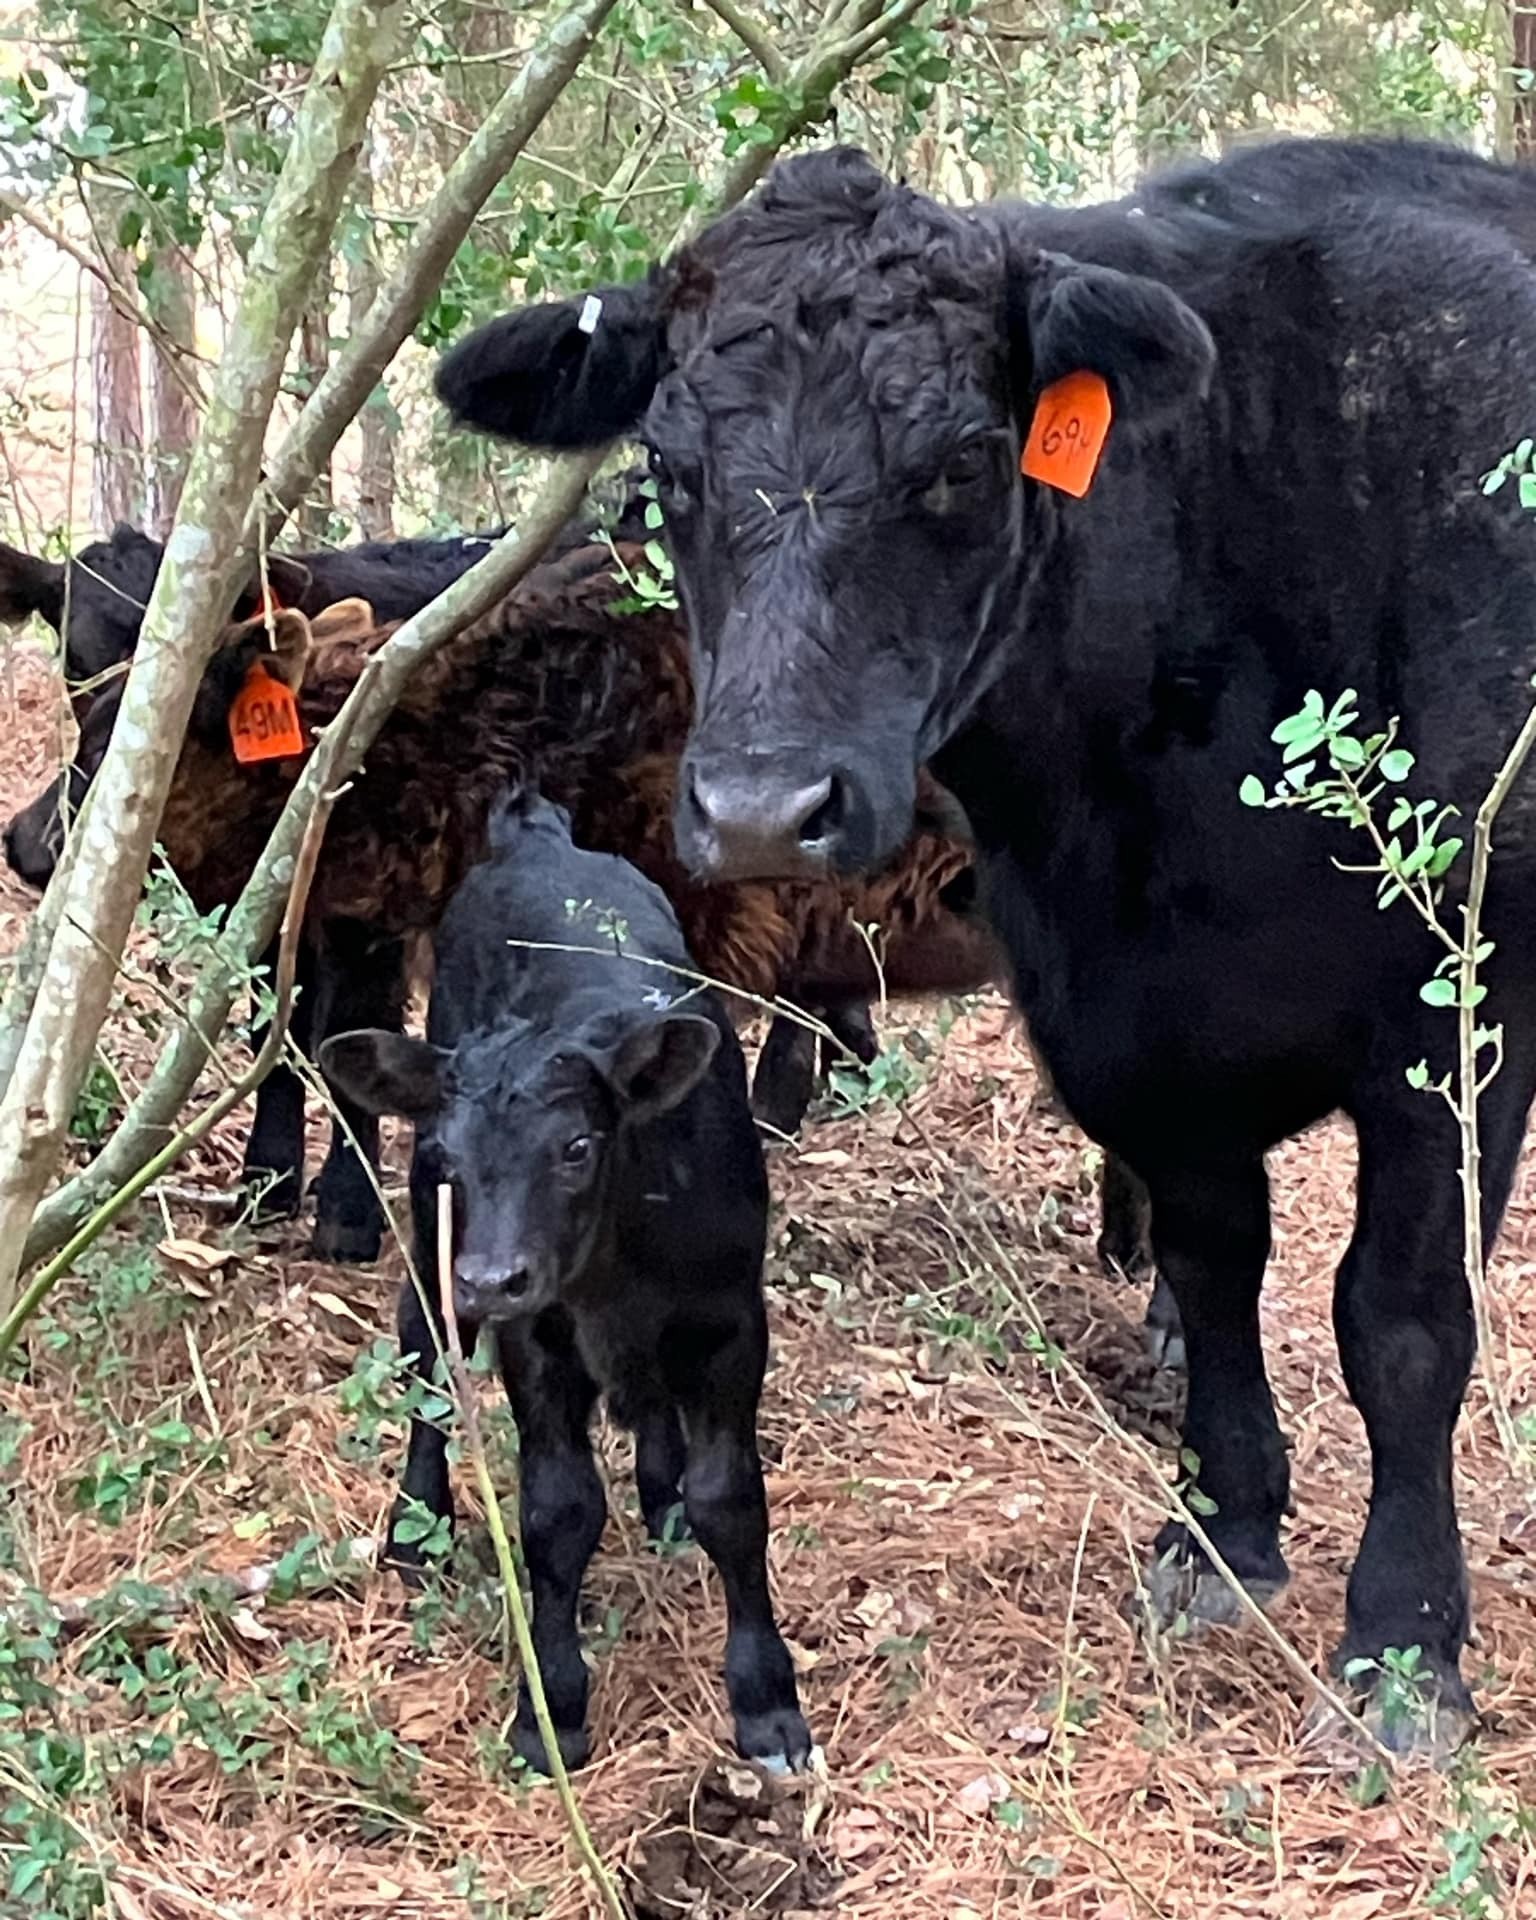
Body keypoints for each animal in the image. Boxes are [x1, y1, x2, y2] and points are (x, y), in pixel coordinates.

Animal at [318, 786, 813, 1774]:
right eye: (451, 1150)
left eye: (578, 1146)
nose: (494, 1277)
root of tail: (535, 830)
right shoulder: (536, 1337)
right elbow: (557, 1510)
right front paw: (551, 1703)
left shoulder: (731, 1323)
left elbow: (731, 1500)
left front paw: (768, 1704)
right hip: (433, 1246)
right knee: (424, 1345)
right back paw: (417, 1519)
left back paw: (660, 1491)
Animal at [429, 134, 1536, 1744]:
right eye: (669, 472)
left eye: (959, 461)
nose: (761, 809)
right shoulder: (1129, 1025)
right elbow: (1218, 1265)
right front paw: (1224, 1529)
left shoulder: (1457, 1011)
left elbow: (1400, 1321)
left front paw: (1403, 1646)